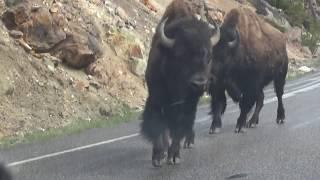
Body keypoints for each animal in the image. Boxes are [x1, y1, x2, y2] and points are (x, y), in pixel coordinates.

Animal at [141, 0, 221, 167]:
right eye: (180, 55)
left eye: (209, 56)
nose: (199, 84)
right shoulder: (156, 98)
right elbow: (158, 124)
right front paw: (158, 156)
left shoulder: (188, 104)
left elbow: (179, 125)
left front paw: (174, 156)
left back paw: (189, 142)